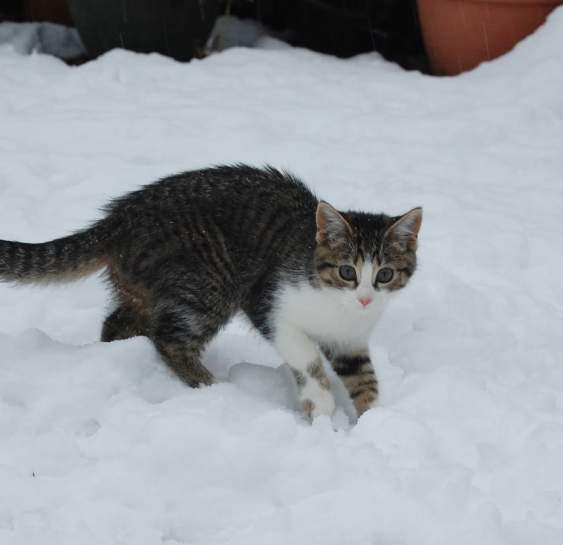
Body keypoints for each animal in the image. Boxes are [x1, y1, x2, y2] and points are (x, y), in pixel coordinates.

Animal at [0, 164, 424, 418]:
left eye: (385, 274)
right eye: (347, 271)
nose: (365, 297)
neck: (338, 309)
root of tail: (120, 218)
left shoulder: (350, 342)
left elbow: (364, 378)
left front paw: (373, 423)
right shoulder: (269, 304)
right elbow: (306, 358)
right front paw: (320, 406)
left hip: (146, 287)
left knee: (118, 321)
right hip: (208, 283)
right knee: (169, 338)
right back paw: (210, 386)